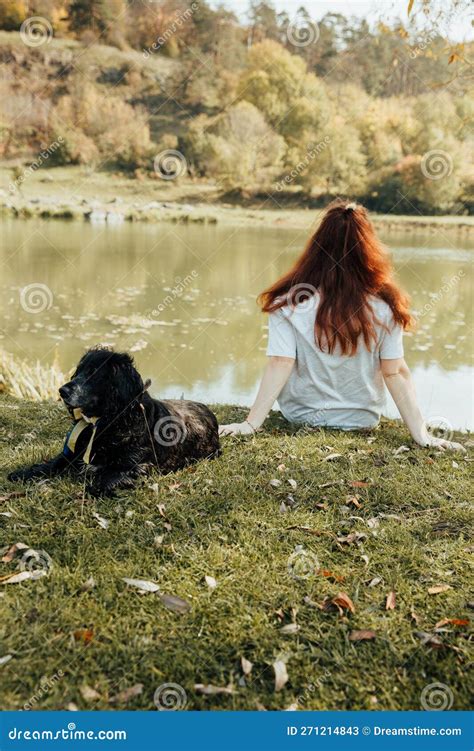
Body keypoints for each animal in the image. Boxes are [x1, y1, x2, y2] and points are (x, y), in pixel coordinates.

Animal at [7, 348, 220, 500]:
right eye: (78, 372)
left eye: (93, 373)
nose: (62, 391)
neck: (107, 422)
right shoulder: (71, 454)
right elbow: (50, 464)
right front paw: (23, 472)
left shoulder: (137, 465)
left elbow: (104, 480)